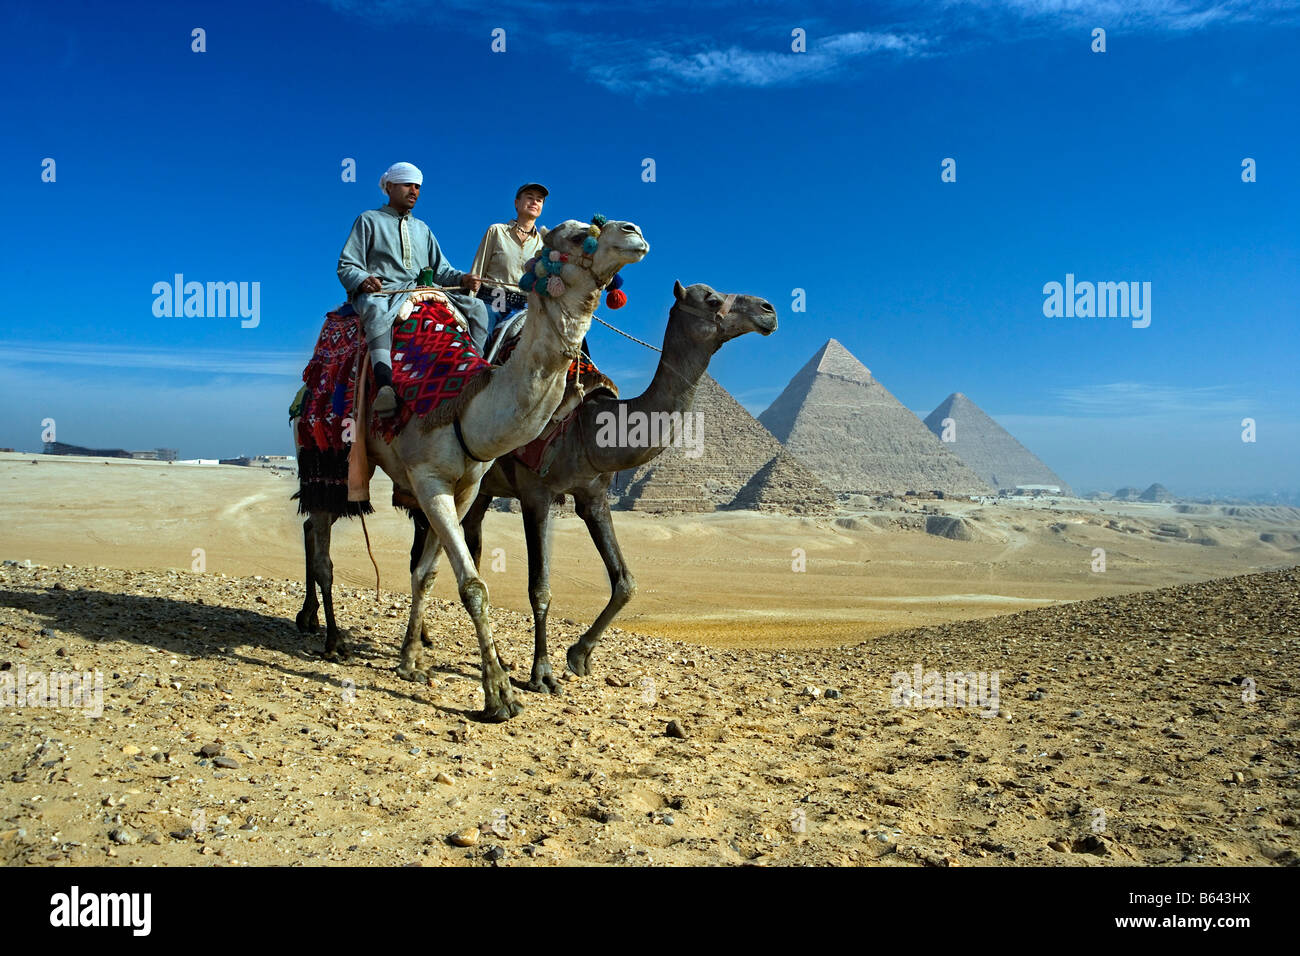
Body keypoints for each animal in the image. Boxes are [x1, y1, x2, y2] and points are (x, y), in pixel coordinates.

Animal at [297, 221, 647, 723]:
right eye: (577, 234)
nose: (634, 232)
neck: (466, 405)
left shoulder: (465, 489)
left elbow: (426, 573)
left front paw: (410, 661)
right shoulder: (430, 482)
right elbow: (474, 586)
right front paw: (500, 695)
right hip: (327, 455)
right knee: (321, 540)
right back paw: (331, 638)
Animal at [447, 280, 774, 691]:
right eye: (712, 299)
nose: (768, 311)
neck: (589, 426)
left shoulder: (593, 496)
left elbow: (626, 582)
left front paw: (579, 655)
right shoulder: (536, 493)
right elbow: (540, 587)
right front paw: (542, 673)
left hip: (484, 486)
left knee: (470, 536)